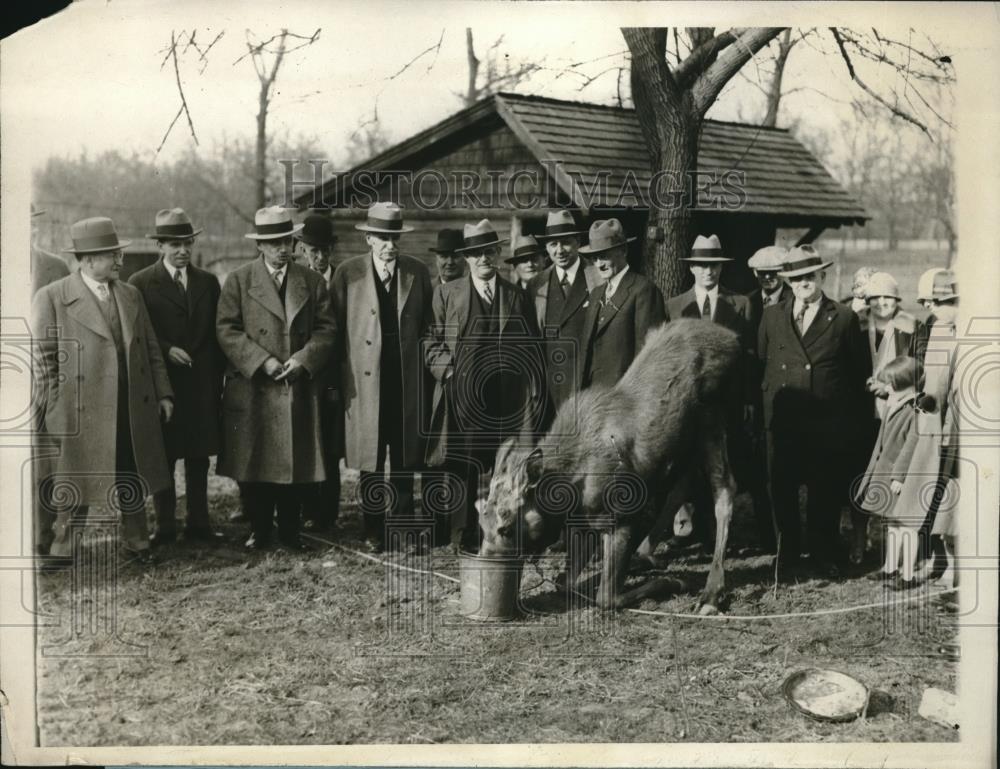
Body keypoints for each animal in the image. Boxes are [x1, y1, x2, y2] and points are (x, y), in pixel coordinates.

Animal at [480, 316, 748, 612]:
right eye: (482, 519)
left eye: (505, 527)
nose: (486, 565)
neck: (570, 484)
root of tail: (734, 338)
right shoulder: (582, 521)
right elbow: (566, 583)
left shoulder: (620, 519)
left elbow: (605, 597)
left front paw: (674, 582)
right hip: (685, 441)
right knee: (685, 483)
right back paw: (646, 554)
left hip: (713, 420)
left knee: (724, 489)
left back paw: (710, 593)